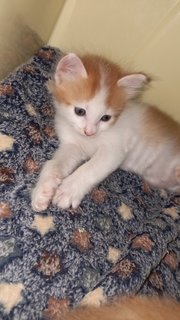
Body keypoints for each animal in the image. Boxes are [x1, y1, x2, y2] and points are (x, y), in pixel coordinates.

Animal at [31, 53, 180, 211]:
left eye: (105, 118)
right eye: (80, 111)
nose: (89, 132)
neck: (89, 140)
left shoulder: (113, 151)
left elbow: (90, 168)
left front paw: (68, 190)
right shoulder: (73, 146)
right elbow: (53, 164)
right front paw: (42, 190)